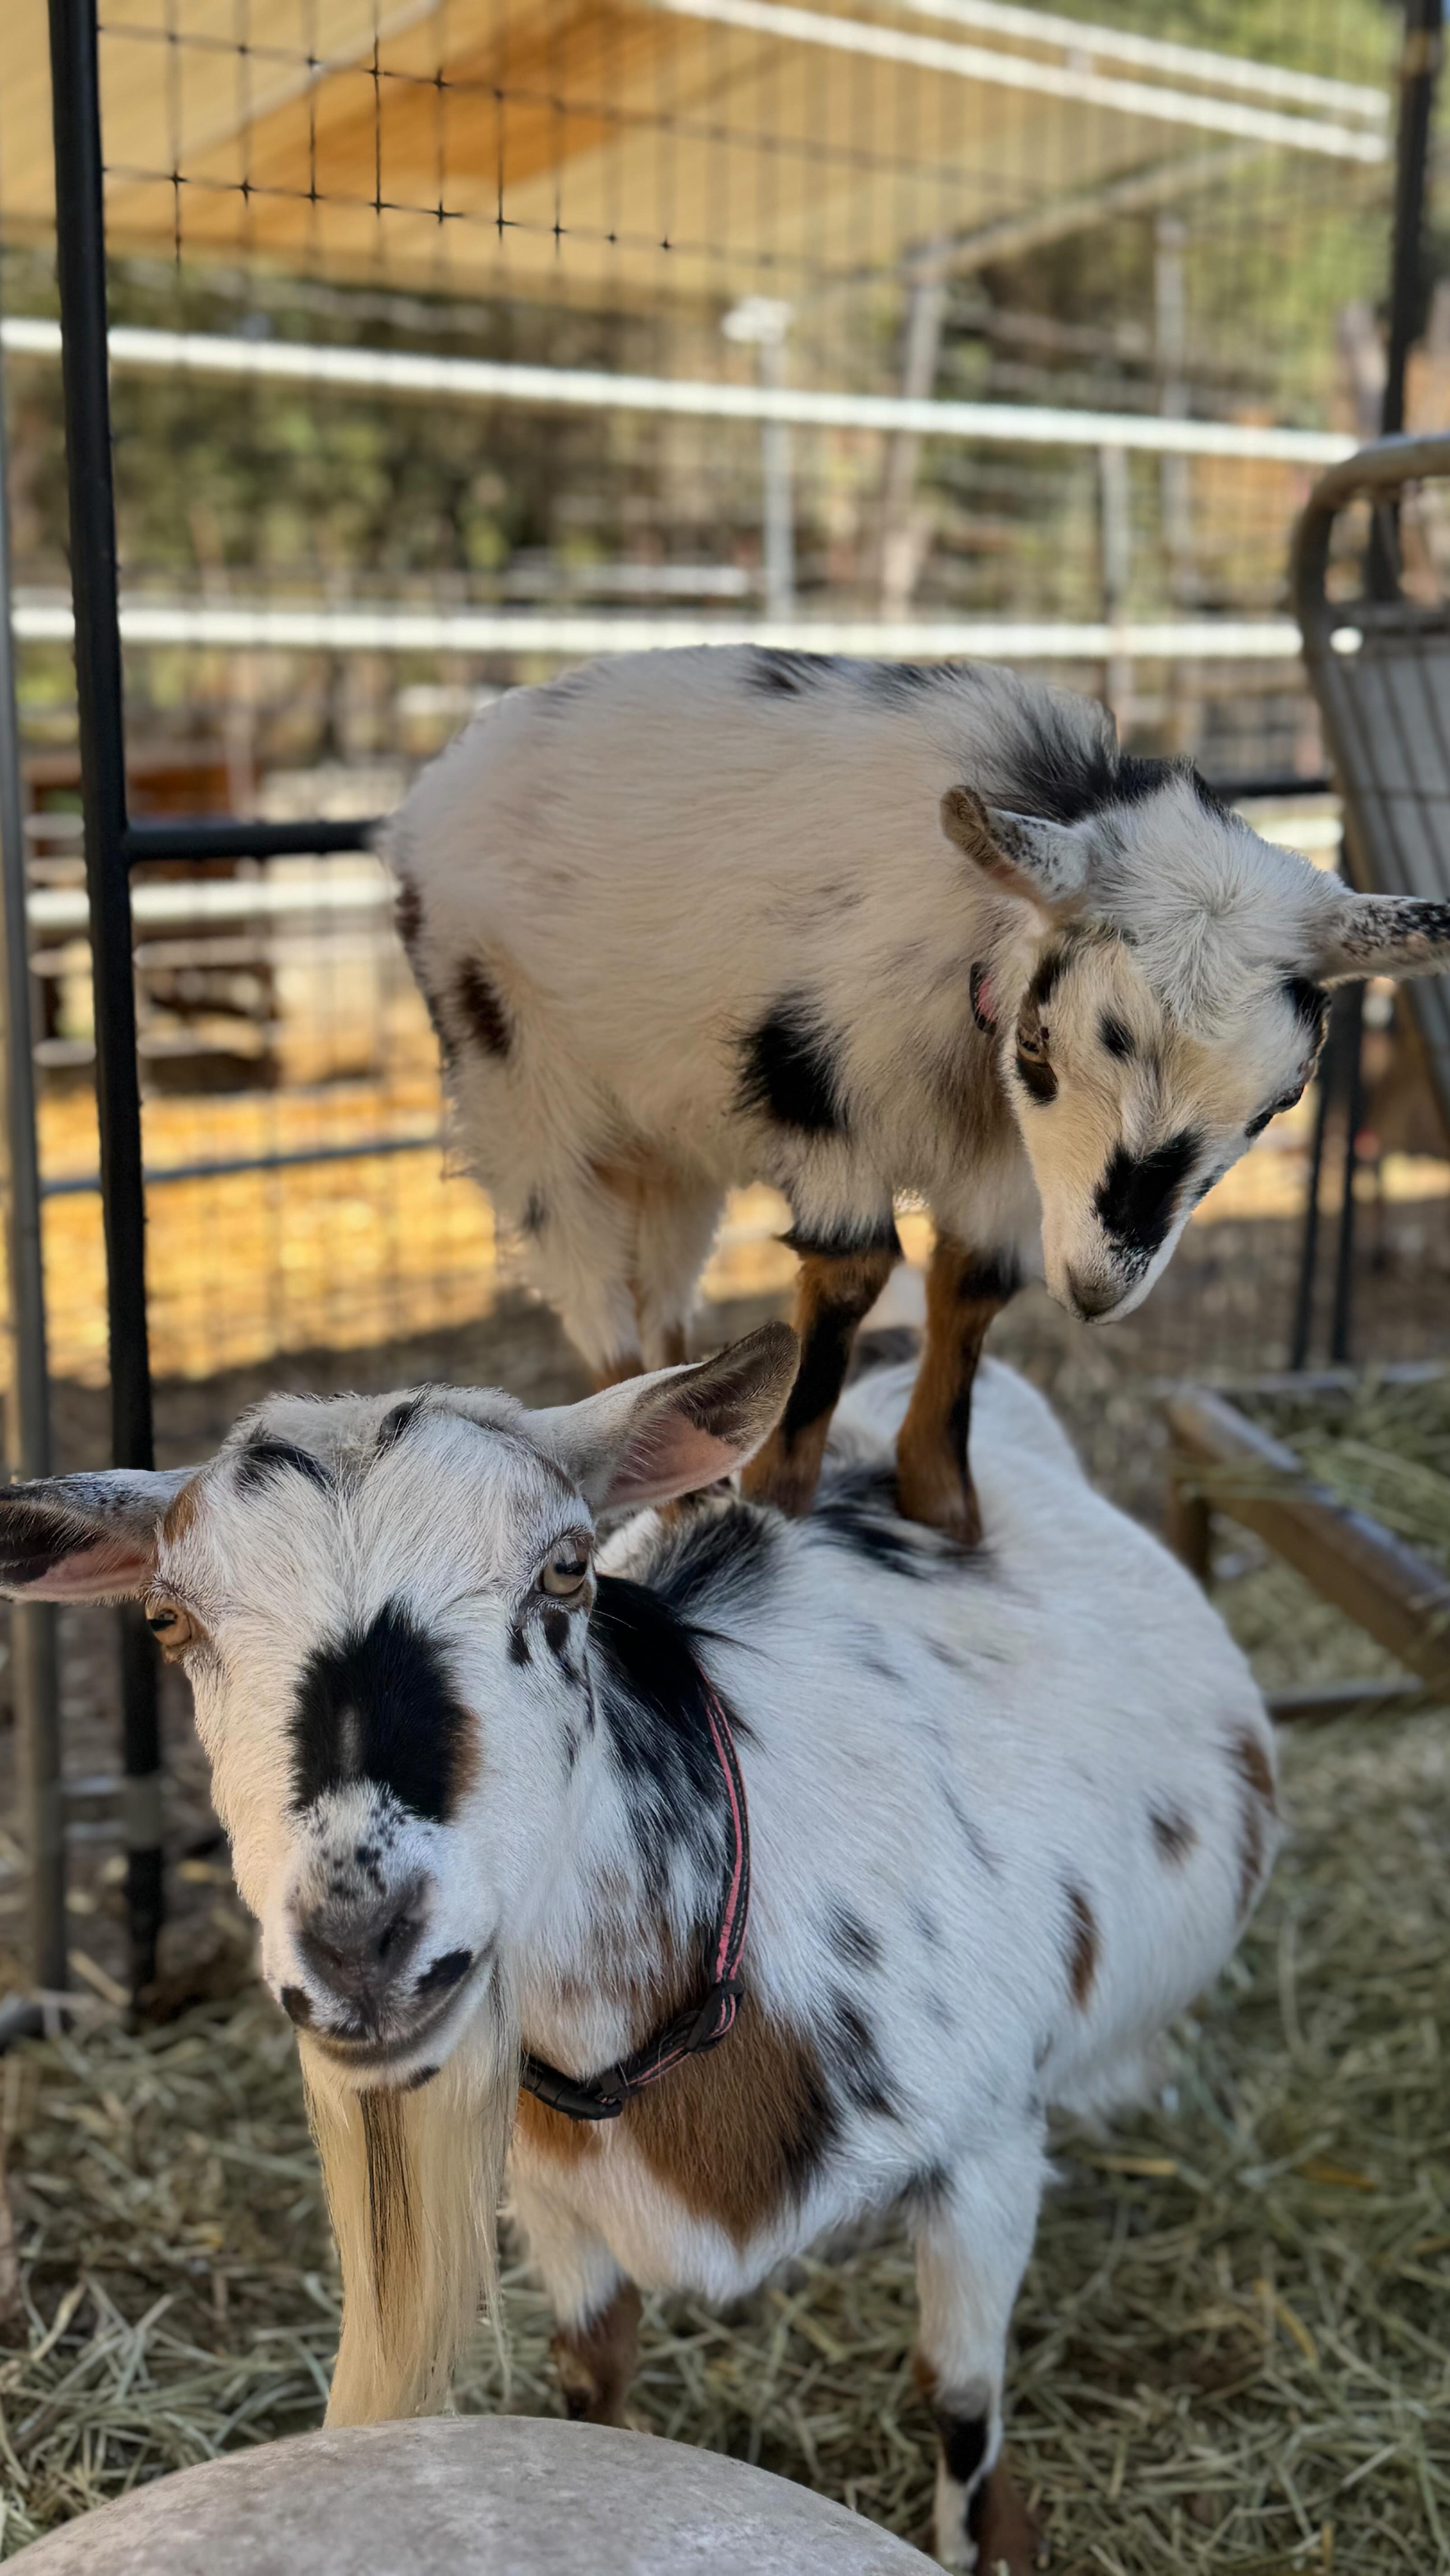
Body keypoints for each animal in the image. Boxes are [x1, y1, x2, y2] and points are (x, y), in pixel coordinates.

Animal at [0, 1324, 1278, 2571]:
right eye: (167, 1622)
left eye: (568, 1570)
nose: (363, 1943)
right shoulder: (556, 2202)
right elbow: (593, 2377)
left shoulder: (987, 2151)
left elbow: (959, 2396)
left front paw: (993, 2543)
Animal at [390, 646, 1450, 1540]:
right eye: (1039, 1044)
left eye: (1282, 1104)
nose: (1098, 1290)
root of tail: (439, 785)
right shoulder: (819, 1089)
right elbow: (853, 1274)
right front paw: (781, 1491)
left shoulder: (1017, 1167)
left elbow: (972, 1282)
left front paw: (943, 1502)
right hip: (516, 1088)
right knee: (590, 1286)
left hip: (670, 1144)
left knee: (661, 1294)